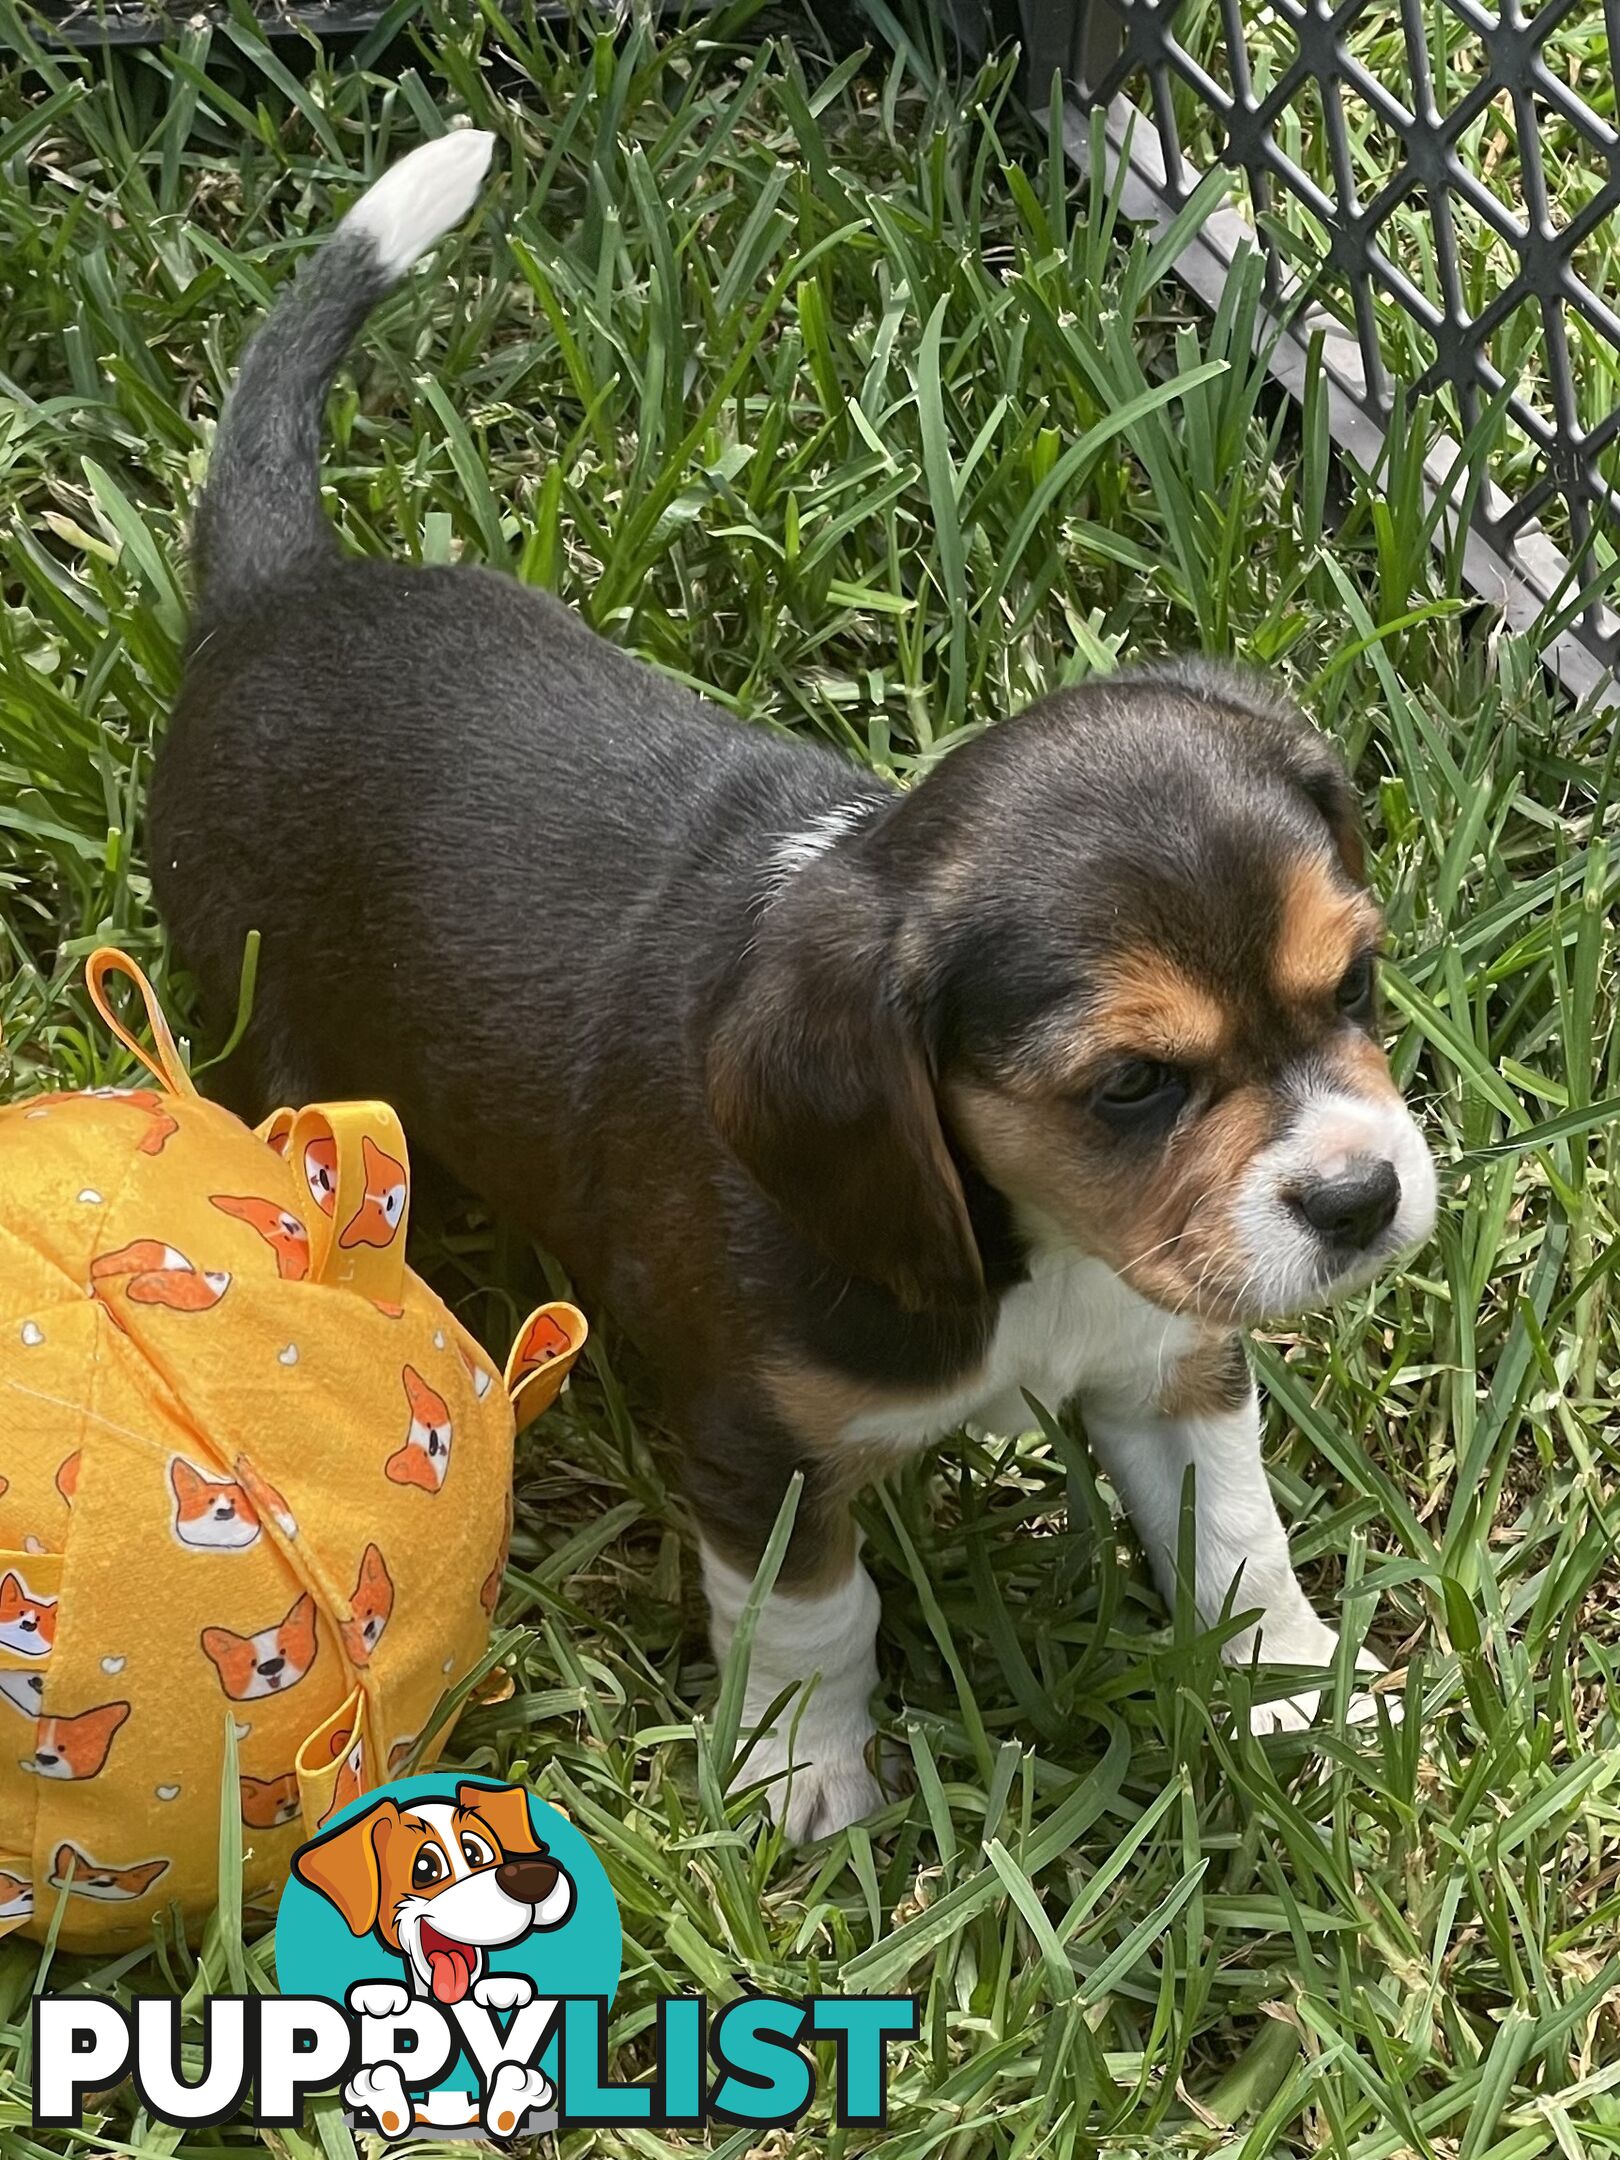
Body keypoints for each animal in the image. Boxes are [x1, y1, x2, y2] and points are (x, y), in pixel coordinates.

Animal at [152, 130, 1442, 1840]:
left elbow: (1238, 1543)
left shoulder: (1174, 1367)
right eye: (1130, 1087)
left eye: (1354, 982)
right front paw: (804, 1784)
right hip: (274, 1043)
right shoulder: (759, 1451)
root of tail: (270, 597)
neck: (1026, 1249)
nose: (1362, 1201)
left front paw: (1300, 1701)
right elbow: (817, 1616)